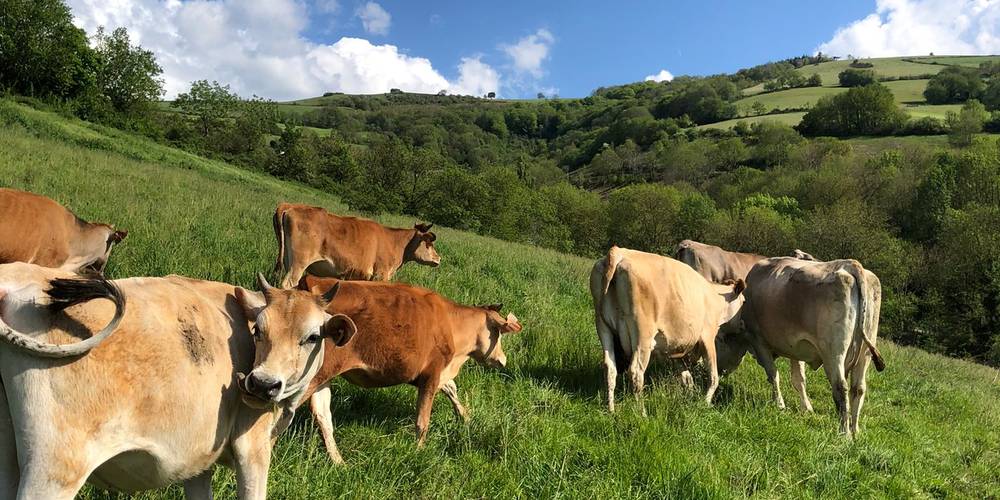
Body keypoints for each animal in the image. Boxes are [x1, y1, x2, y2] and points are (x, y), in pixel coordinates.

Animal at [0, 263, 355, 499]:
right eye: (259, 330)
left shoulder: (198, 463)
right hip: (54, 470)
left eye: (312, 336)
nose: (261, 384)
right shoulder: (252, 448)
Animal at [262, 275, 523, 463]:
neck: (451, 323)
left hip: (321, 378)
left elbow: (452, 389)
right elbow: (422, 421)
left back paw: (339, 462)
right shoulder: (432, 373)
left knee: (323, 418)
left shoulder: (438, 374)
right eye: (498, 333)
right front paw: (419, 451)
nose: (503, 360)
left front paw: (466, 417)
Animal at [272, 203, 440, 288]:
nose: (439, 258)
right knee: (288, 284)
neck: (395, 243)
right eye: (429, 243)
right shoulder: (380, 275)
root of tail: (289, 207)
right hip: (298, 263)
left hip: (287, 260)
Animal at [590, 246, 747, 412]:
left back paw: (611, 409)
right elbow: (713, 377)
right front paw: (704, 403)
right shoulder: (708, 338)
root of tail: (620, 252)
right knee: (636, 372)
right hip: (642, 335)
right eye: (744, 301)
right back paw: (642, 412)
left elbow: (687, 377)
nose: (742, 324)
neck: (716, 297)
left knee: (610, 369)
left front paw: (689, 398)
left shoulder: (675, 348)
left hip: (603, 327)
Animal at [741, 257, 884, 436]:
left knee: (841, 387)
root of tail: (850, 264)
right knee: (858, 388)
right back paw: (855, 430)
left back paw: (844, 433)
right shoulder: (795, 348)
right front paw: (806, 408)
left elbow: (773, 375)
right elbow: (798, 379)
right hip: (865, 352)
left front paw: (779, 404)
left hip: (833, 353)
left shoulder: (758, 340)